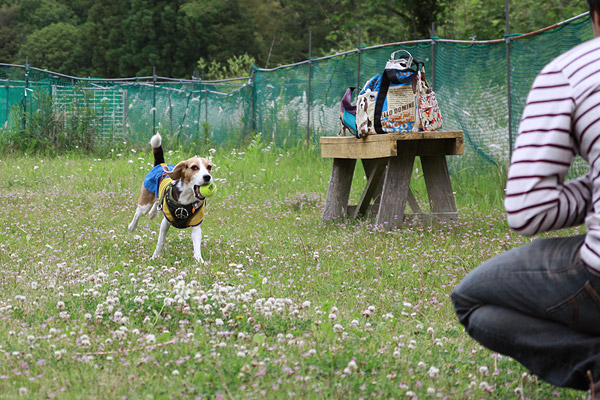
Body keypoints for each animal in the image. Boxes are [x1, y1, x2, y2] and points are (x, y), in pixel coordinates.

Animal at [128, 134, 213, 264]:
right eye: (194, 167)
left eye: (209, 167)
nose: (207, 177)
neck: (187, 197)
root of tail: (161, 164)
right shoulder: (166, 222)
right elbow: (160, 241)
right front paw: (155, 256)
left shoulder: (196, 225)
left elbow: (197, 243)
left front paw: (200, 260)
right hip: (145, 202)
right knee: (138, 212)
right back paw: (132, 226)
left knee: (157, 201)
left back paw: (153, 213)